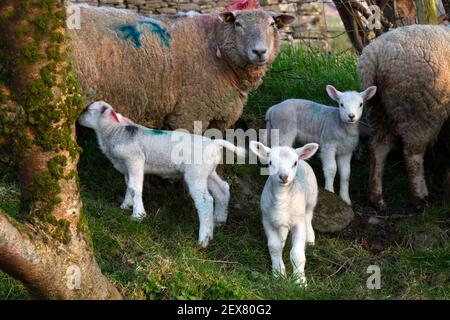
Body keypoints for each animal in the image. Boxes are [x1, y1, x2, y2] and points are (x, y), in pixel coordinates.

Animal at [78, 100, 246, 248]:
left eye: (87, 109)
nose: (77, 120)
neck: (114, 132)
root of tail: (215, 143)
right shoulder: (126, 166)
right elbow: (129, 185)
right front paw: (125, 205)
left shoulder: (135, 160)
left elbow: (135, 187)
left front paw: (138, 215)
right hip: (207, 172)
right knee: (222, 189)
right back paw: (218, 221)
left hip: (195, 174)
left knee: (205, 201)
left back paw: (203, 239)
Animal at [250, 141, 320, 286]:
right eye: (270, 162)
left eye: (294, 163)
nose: (283, 177)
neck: (281, 198)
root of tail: (302, 158)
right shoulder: (267, 220)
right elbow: (274, 246)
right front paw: (278, 273)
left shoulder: (298, 222)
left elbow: (297, 254)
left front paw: (300, 281)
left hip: (311, 199)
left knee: (309, 216)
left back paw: (310, 239)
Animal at [358, 24, 450, 210]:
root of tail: (375, 53)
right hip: (419, 111)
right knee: (412, 156)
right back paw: (419, 198)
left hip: (379, 109)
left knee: (378, 148)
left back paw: (376, 199)